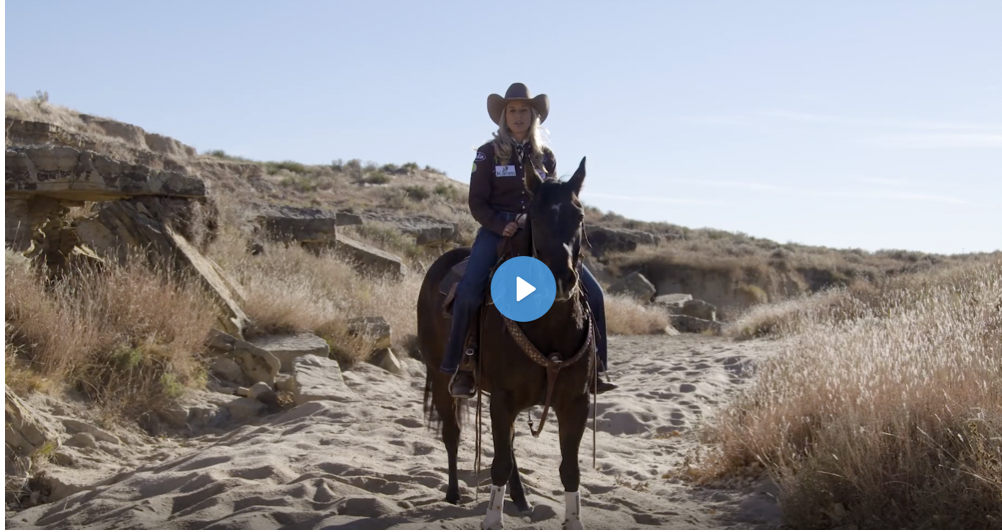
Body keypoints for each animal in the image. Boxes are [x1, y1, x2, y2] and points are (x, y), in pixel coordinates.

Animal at [414, 157, 593, 528]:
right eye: (535, 217)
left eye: (579, 216)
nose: (561, 277)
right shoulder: (502, 398)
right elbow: (498, 463)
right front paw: (492, 519)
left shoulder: (575, 403)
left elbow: (569, 469)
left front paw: (573, 520)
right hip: (441, 376)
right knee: (452, 433)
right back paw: (453, 493)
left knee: (507, 446)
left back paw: (522, 500)